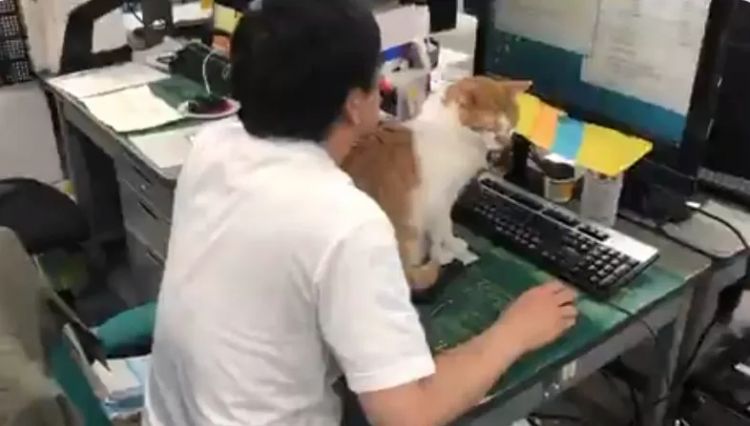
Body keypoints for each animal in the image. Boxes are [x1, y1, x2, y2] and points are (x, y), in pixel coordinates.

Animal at [342, 76, 531, 290]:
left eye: (511, 126)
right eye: (492, 128)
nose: (505, 143)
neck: (450, 131)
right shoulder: (440, 200)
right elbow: (443, 228)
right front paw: (448, 249)